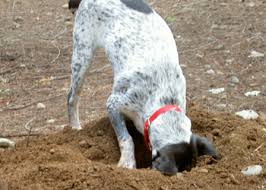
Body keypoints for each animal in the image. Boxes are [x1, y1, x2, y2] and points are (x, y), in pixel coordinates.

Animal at [66, 0, 218, 175]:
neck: (164, 99)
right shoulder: (113, 103)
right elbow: (127, 139)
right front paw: (127, 163)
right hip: (82, 53)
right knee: (72, 97)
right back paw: (75, 128)